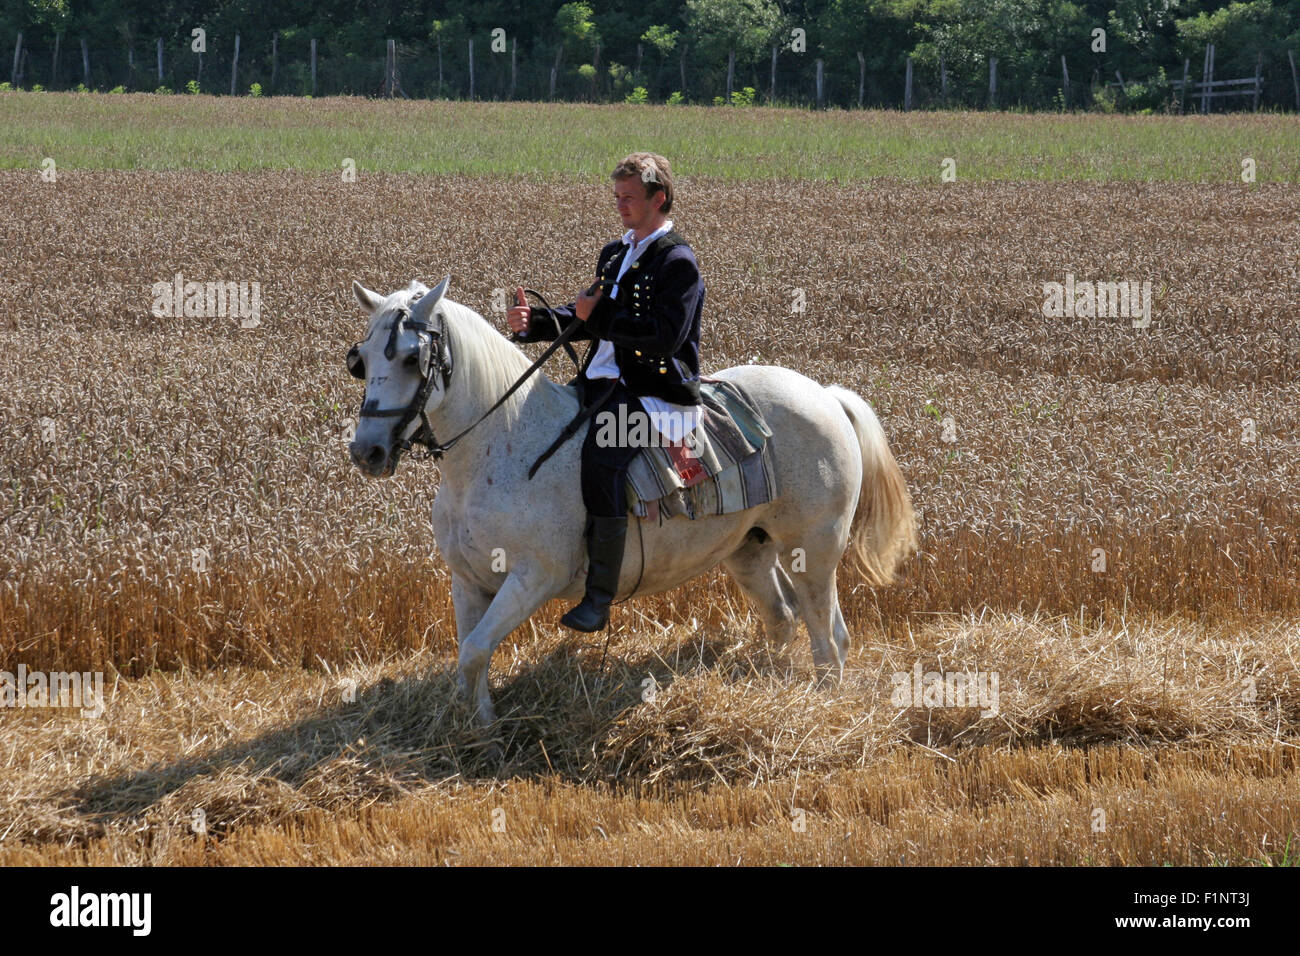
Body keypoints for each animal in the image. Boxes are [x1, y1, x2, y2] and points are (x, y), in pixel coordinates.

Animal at [346, 276, 918, 725]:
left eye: (410, 357)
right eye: (363, 359)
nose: (366, 452)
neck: (499, 444)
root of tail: (825, 395)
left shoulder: (532, 578)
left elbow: (474, 651)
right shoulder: (467, 581)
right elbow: (471, 656)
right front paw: (478, 727)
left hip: (813, 550)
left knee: (830, 635)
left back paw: (824, 704)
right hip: (749, 549)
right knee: (783, 617)